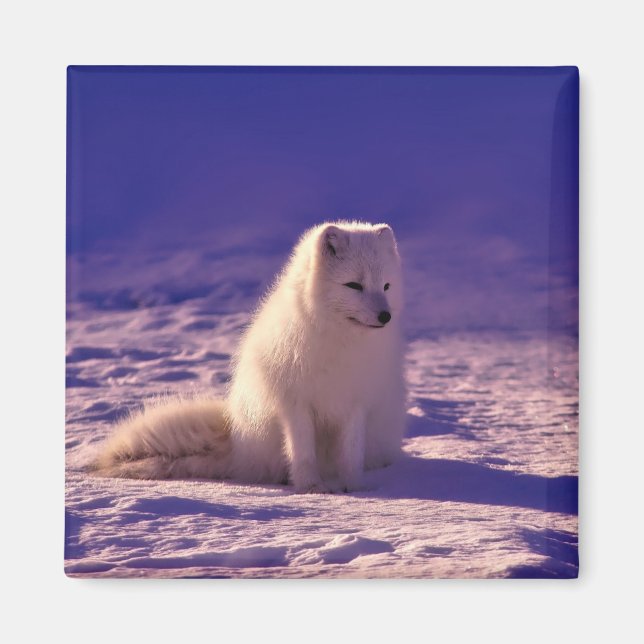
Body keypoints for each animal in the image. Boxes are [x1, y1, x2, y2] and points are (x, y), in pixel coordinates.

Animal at [91, 221, 406, 493]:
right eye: (354, 285)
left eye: (386, 286)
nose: (385, 316)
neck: (340, 342)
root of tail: (237, 443)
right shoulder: (295, 403)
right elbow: (303, 452)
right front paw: (311, 488)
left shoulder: (356, 403)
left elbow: (351, 454)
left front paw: (354, 488)